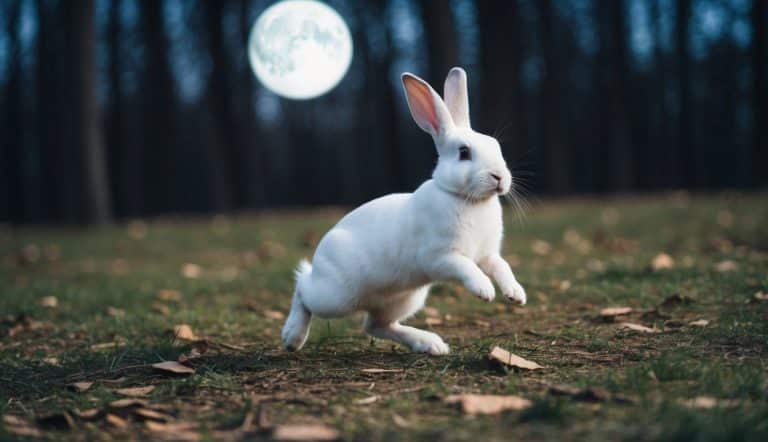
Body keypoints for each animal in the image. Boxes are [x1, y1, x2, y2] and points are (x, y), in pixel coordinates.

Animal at [281, 67, 526, 355]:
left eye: (496, 146)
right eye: (464, 152)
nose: (499, 176)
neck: (467, 199)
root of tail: (320, 255)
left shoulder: (488, 254)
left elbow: (502, 266)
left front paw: (516, 295)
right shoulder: (440, 256)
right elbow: (467, 267)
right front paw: (485, 291)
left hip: (404, 298)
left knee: (376, 326)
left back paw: (431, 344)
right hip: (335, 296)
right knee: (303, 289)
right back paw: (292, 337)